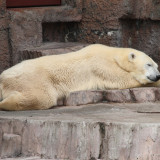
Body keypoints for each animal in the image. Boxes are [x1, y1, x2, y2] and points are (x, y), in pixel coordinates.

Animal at [0, 44, 160, 111]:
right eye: (148, 64)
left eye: (156, 65)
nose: (157, 75)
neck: (113, 54)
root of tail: (3, 78)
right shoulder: (100, 64)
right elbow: (122, 79)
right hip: (33, 78)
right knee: (43, 97)